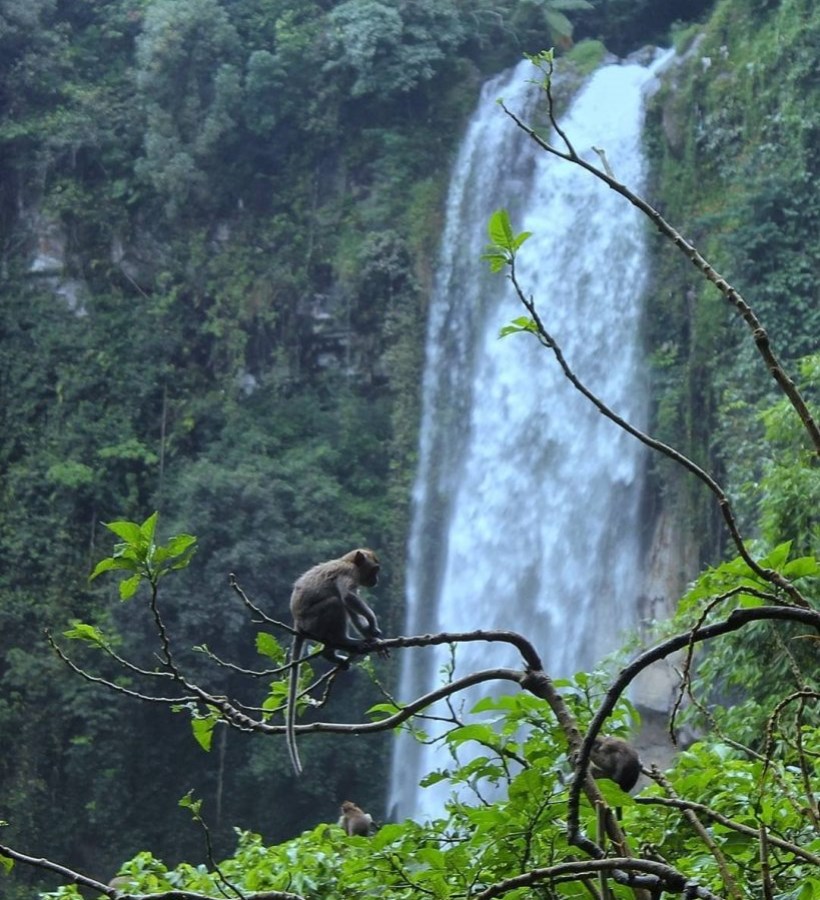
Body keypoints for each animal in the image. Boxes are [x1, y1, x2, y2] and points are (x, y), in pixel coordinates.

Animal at [286, 544, 384, 776]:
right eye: (375, 569)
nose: (377, 580)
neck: (348, 562)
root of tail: (298, 623)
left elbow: (352, 607)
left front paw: (371, 636)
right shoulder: (348, 574)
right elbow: (348, 597)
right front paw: (372, 623)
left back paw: (332, 652)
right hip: (314, 620)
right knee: (336, 603)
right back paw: (341, 644)